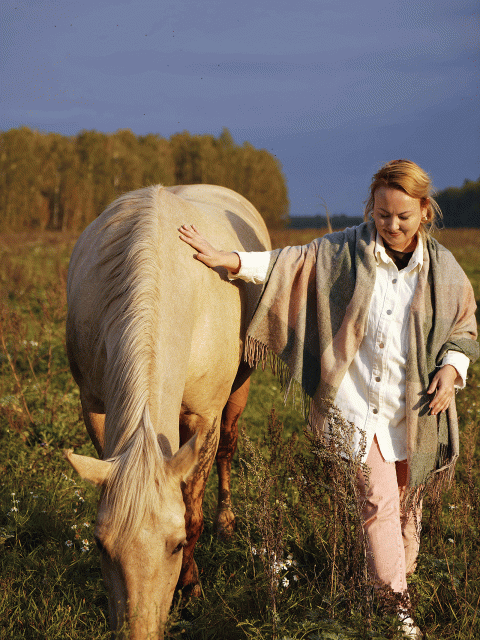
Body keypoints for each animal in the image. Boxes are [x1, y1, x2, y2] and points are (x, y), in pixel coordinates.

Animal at [63, 182, 270, 636]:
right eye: (101, 546)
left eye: (174, 547)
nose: (138, 631)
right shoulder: (94, 408)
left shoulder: (205, 417)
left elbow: (191, 510)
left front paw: (190, 590)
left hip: (238, 392)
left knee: (228, 450)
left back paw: (226, 522)